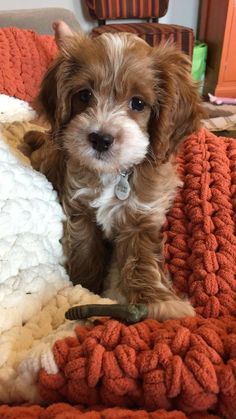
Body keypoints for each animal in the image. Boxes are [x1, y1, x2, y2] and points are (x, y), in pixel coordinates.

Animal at [26, 21, 205, 322]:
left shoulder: (141, 219)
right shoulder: (81, 210)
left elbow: (141, 261)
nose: (100, 139)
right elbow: (85, 251)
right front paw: (86, 288)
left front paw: (156, 301)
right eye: (84, 95)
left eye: (138, 103)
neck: (114, 173)